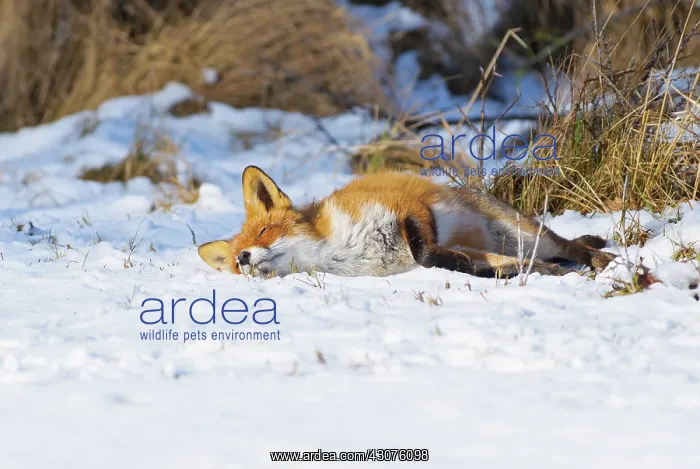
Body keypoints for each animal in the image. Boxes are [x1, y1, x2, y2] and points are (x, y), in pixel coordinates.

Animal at [198, 165, 616, 278]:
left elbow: (423, 252)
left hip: (525, 232)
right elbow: (430, 258)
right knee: (527, 261)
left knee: (570, 247)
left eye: (264, 231)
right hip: (504, 245)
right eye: (233, 262)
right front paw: (465, 269)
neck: (337, 251)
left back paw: (599, 260)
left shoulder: (405, 206)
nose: (244, 259)